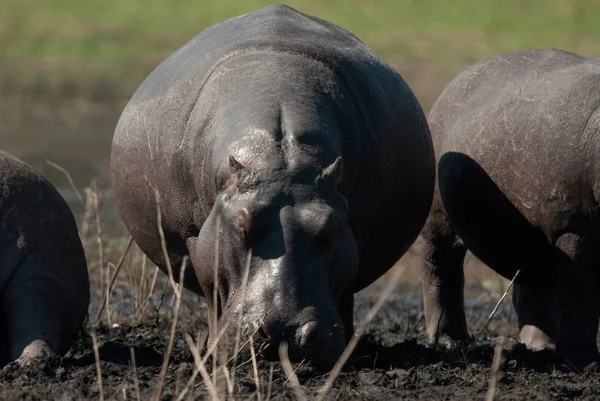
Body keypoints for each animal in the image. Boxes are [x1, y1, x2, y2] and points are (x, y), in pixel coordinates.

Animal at [111, 4, 432, 368]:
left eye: (327, 229)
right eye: (241, 228)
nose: (284, 331)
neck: (282, 161)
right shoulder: (196, 237)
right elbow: (212, 292)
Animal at [420, 48, 600, 364]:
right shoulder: (576, 228)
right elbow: (581, 293)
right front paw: (583, 359)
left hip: (528, 235)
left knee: (532, 284)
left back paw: (540, 347)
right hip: (438, 219)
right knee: (440, 269)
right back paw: (447, 340)